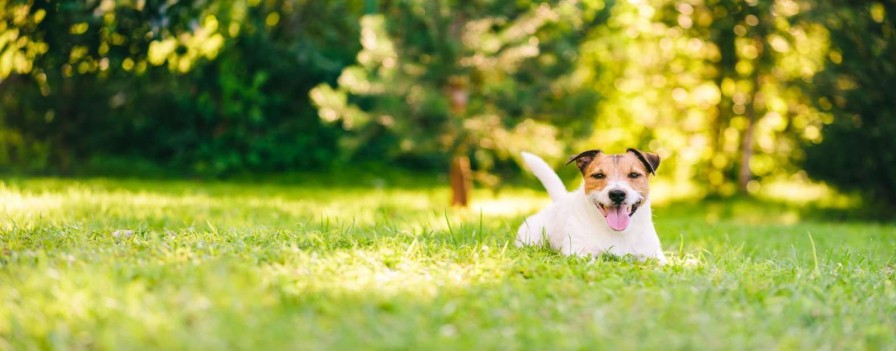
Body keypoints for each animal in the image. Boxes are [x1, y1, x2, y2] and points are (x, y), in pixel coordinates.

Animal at [520, 148, 664, 264]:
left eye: (634, 175)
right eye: (598, 175)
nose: (617, 194)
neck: (617, 233)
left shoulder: (653, 254)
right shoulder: (577, 251)